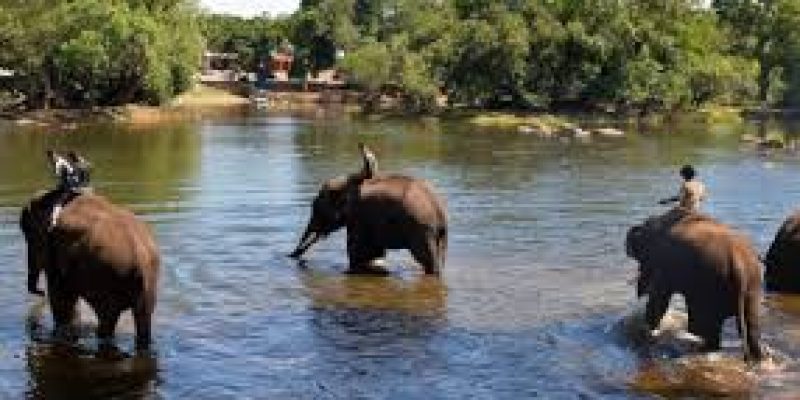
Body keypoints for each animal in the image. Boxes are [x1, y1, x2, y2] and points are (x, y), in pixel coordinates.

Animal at [20, 189, 160, 349]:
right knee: (142, 319)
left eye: (29, 235)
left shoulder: (54, 247)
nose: (41, 292)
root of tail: (141, 258)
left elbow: (60, 299)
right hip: (146, 284)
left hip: (106, 274)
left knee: (107, 317)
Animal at [290, 143, 448, 274]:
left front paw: (351, 271)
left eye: (315, 207)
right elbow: (373, 255)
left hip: (421, 229)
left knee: (427, 260)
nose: (295, 257)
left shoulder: (359, 217)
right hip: (437, 234)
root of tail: (440, 214)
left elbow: (357, 251)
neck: (351, 184)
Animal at [625, 209, 763, 361]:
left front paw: (648, 331)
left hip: (709, 283)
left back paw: (702, 348)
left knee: (705, 324)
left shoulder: (662, 263)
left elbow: (659, 298)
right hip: (752, 286)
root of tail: (739, 267)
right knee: (751, 325)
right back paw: (758, 358)